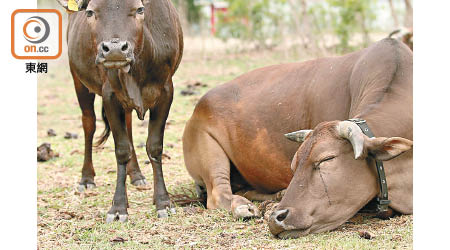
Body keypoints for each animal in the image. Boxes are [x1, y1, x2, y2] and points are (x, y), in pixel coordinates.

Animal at [56, 0, 183, 223]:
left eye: (139, 9)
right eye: (90, 12)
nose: (115, 50)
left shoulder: (166, 92)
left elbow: (154, 146)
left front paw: (163, 202)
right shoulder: (110, 95)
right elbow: (122, 149)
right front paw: (118, 207)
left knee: (129, 126)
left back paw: (137, 175)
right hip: (79, 81)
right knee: (89, 124)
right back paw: (86, 178)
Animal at [182, 37, 412, 236]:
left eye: (327, 159)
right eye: (294, 165)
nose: (277, 218)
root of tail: (200, 104)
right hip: (209, 150)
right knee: (217, 194)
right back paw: (245, 207)